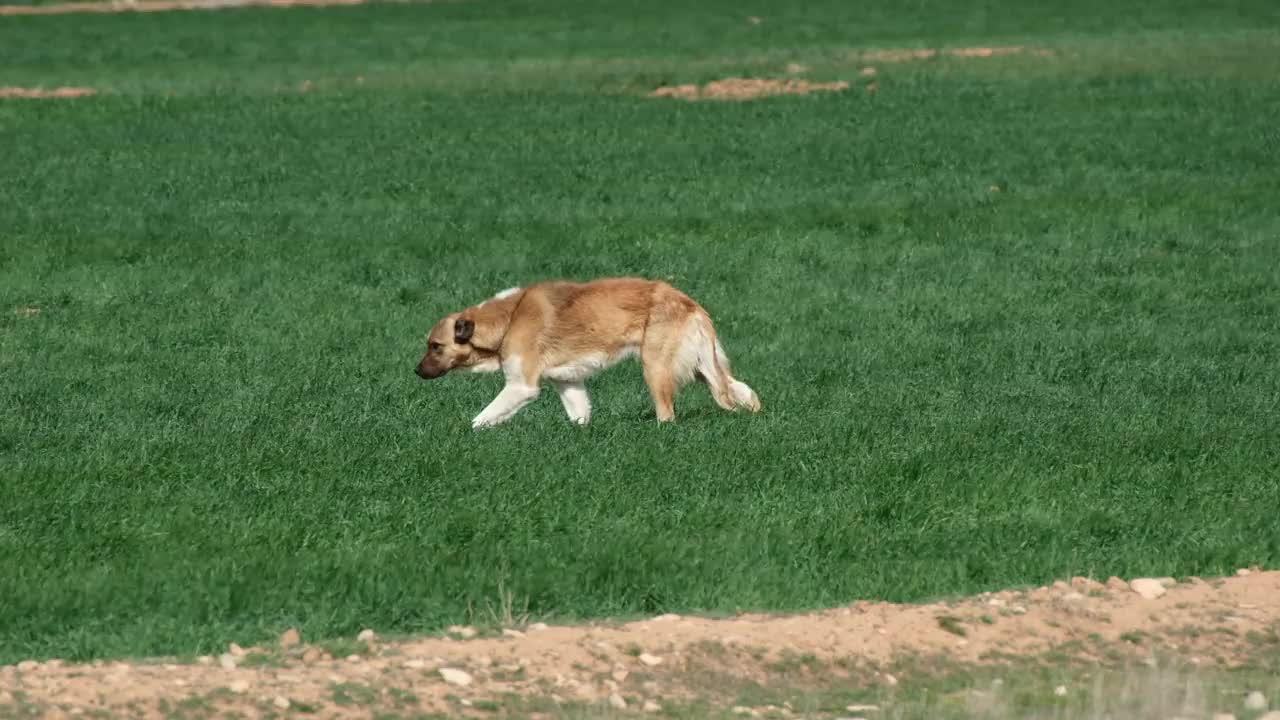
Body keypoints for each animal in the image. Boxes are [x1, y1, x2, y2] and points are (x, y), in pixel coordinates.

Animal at [412, 275, 757, 425]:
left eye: (435, 346)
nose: (416, 372)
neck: (509, 317)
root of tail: (690, 303)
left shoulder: (521, 386)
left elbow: (482, 418)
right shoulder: (568, 382)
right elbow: (579, 415)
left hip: (656, 367)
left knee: (668, 414)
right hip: (701, 367)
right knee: (741, 391)